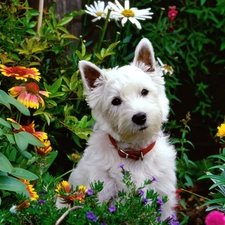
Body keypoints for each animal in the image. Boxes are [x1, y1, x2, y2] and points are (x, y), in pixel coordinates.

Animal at [55, 37, 176, 219]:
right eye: (116, 101)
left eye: (144, 91)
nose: (139, 117)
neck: (135, 152)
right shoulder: (104, 194)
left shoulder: (164, 197)